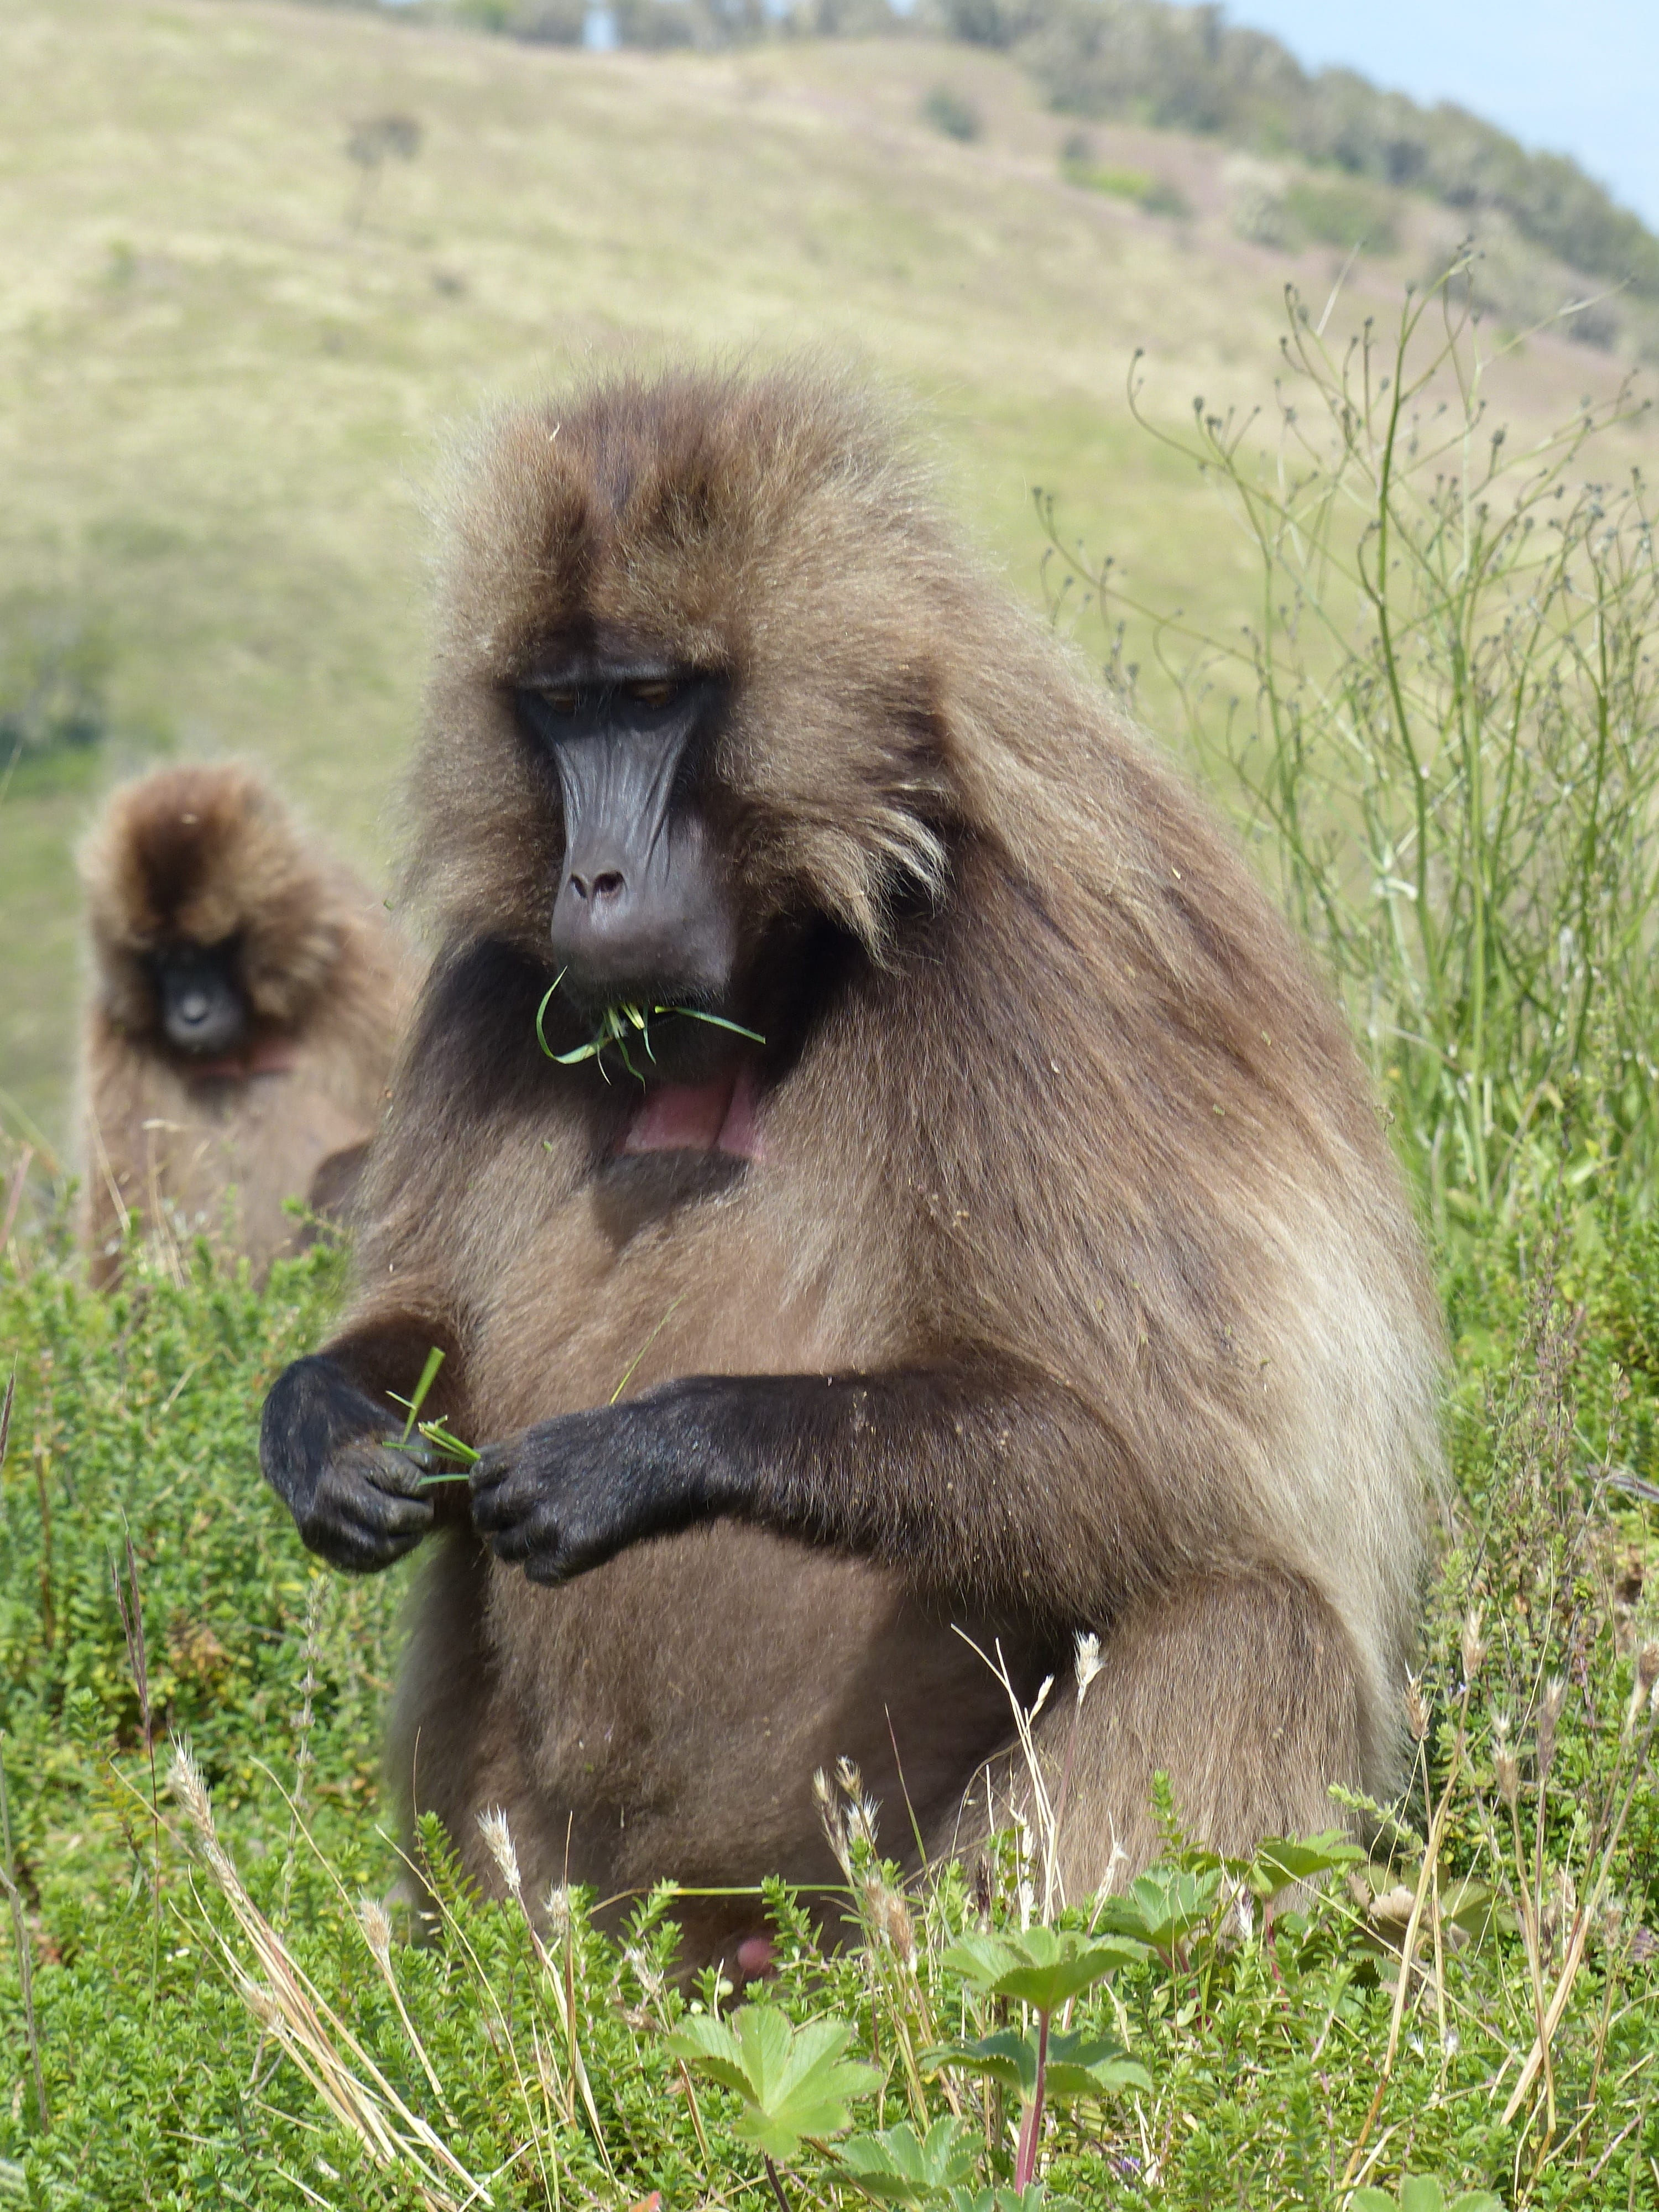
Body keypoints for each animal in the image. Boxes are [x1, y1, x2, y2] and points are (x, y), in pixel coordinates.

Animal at [258, 367, 1441, 1964]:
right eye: (561, 709)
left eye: (653, 699)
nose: (594, 884)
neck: (792, 953)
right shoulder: (492, 988)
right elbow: (432, 1332)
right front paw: (328, 1433)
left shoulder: (1032, 982)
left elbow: (1149, 1462)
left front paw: (644, 1453)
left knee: (1258, 1622)